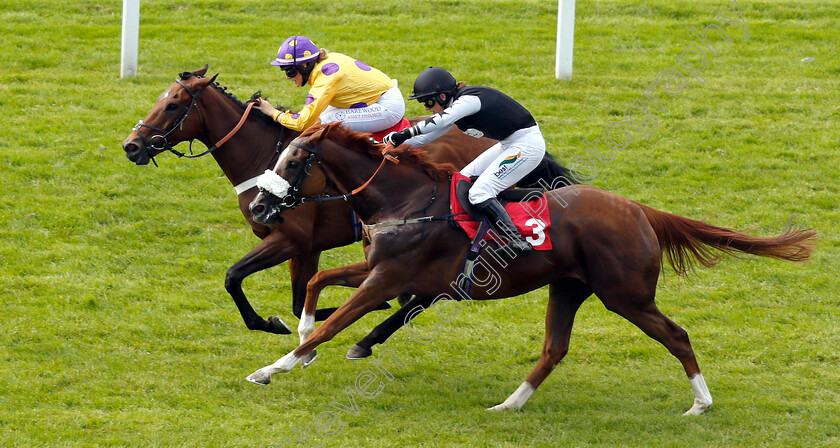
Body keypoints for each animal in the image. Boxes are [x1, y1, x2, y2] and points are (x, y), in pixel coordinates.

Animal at [246, 123, 816, 416]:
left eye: (294, 162)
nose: (258, 208)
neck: (405, 199)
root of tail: (638, 209)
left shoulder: (390, 276)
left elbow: (339, 321)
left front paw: (274, 367)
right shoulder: (384, 271)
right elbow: (317, 282)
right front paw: (301, 339)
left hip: (626, 295)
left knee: (675, 335)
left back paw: (701, 402)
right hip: (568, 288)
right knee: (554, 349)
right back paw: (510, 403)